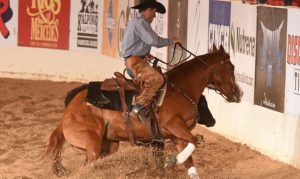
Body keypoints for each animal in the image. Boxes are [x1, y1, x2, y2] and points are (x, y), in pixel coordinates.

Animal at [45, 44, 241, 178]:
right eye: (231, 67)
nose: (237, 93)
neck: (182, 89)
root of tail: (69, 109)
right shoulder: (174, 125)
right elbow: (195, 140)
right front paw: (171, 161)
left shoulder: (176, 137)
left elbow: (189, 159)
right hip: (91, 145)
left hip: (108, 145)